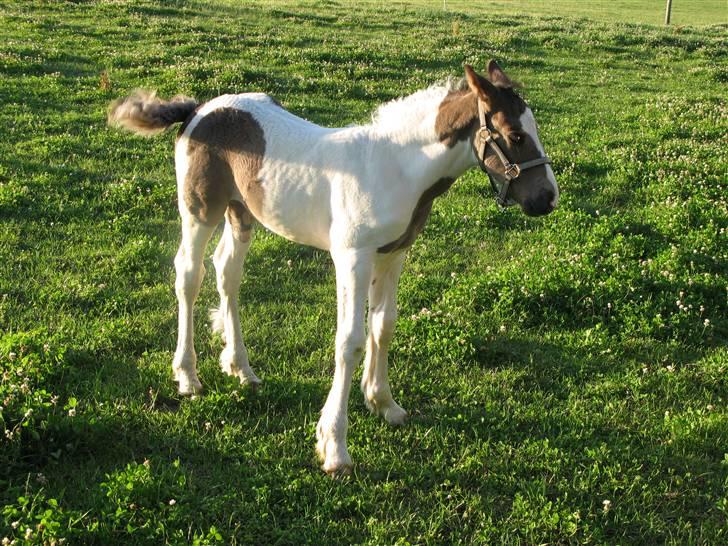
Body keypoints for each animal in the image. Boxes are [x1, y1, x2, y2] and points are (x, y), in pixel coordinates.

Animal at [109, 62, 556, 472]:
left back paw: (241, 368)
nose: (547, 198)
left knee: (227, 272)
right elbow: (350, 340)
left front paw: (383, 403)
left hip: (242, 212)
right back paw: (187, 376)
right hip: (200, 210)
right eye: (516, 136)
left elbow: (383, 325)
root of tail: (199, 109)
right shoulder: (352, 257)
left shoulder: (392, 255)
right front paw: (335, 446)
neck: (394, 168)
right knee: (189, 275)